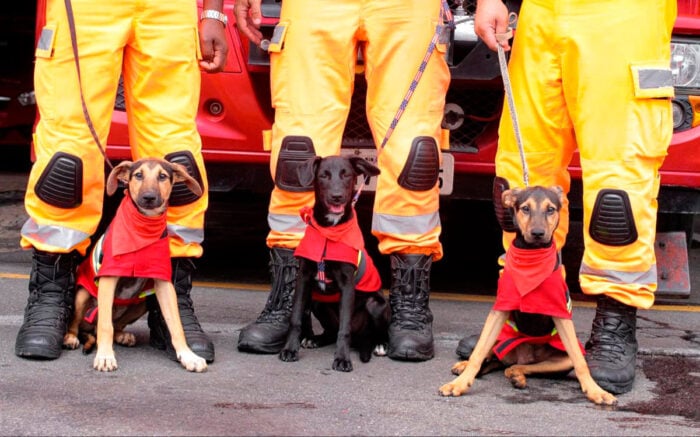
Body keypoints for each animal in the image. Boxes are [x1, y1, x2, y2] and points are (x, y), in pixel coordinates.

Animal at [62, 158, 206, 372]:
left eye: (162, 176)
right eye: (138, 175)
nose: (149, 197)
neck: (143, 228)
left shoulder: (163, 284)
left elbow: (176, 325)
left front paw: (189, 356)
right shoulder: (108, 279)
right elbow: (105, 325)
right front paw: (105, 357)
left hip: (141, 303)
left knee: (116, 326)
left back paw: (123, 336)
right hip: (82, 296)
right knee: (83, 324)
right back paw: (71, 337)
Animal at [278, 155, 388, 370]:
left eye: (347, 175)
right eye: (323, 176)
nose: (337, 196)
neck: (329, 231)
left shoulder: (347, 284)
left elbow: (344, 329)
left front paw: (342, 359)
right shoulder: (303, 279)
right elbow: (296, 318)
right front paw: (290, 349)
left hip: (375, 304)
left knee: (366, 330)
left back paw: (380, 344)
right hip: (318, 303)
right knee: (331, 332)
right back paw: (316, 339)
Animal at [440, 184, 616, 406]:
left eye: (550, 209)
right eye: (525, 208)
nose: (538, 233)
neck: (531, 258)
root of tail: (521, 357)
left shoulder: (560, 312)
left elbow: (580, 362)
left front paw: (595, 391)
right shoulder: (500, 309)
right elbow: (478, 353)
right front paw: (460, 384)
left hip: (558, 360)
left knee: (518, 367)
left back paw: (517, 375)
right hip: (500, 336)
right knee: (490, 355)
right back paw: (466, 365)